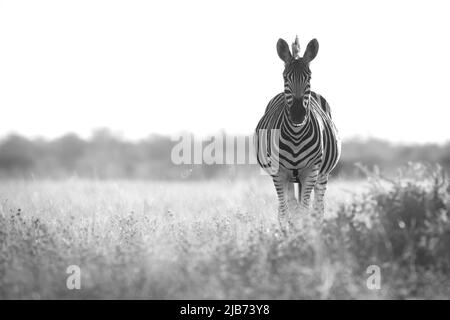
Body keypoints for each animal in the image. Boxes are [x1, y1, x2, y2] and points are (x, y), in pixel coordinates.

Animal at [253, 35, 342, 230]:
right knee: (289, 206)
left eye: (309, 77)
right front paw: (288, 234)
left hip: (322, 175)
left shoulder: (311, 171)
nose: (297, 115)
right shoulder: (279, 173)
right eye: (285, 77)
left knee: (317, 209)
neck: (295, 135)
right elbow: (287, 212)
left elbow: (304, 212)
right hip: (289, 178)